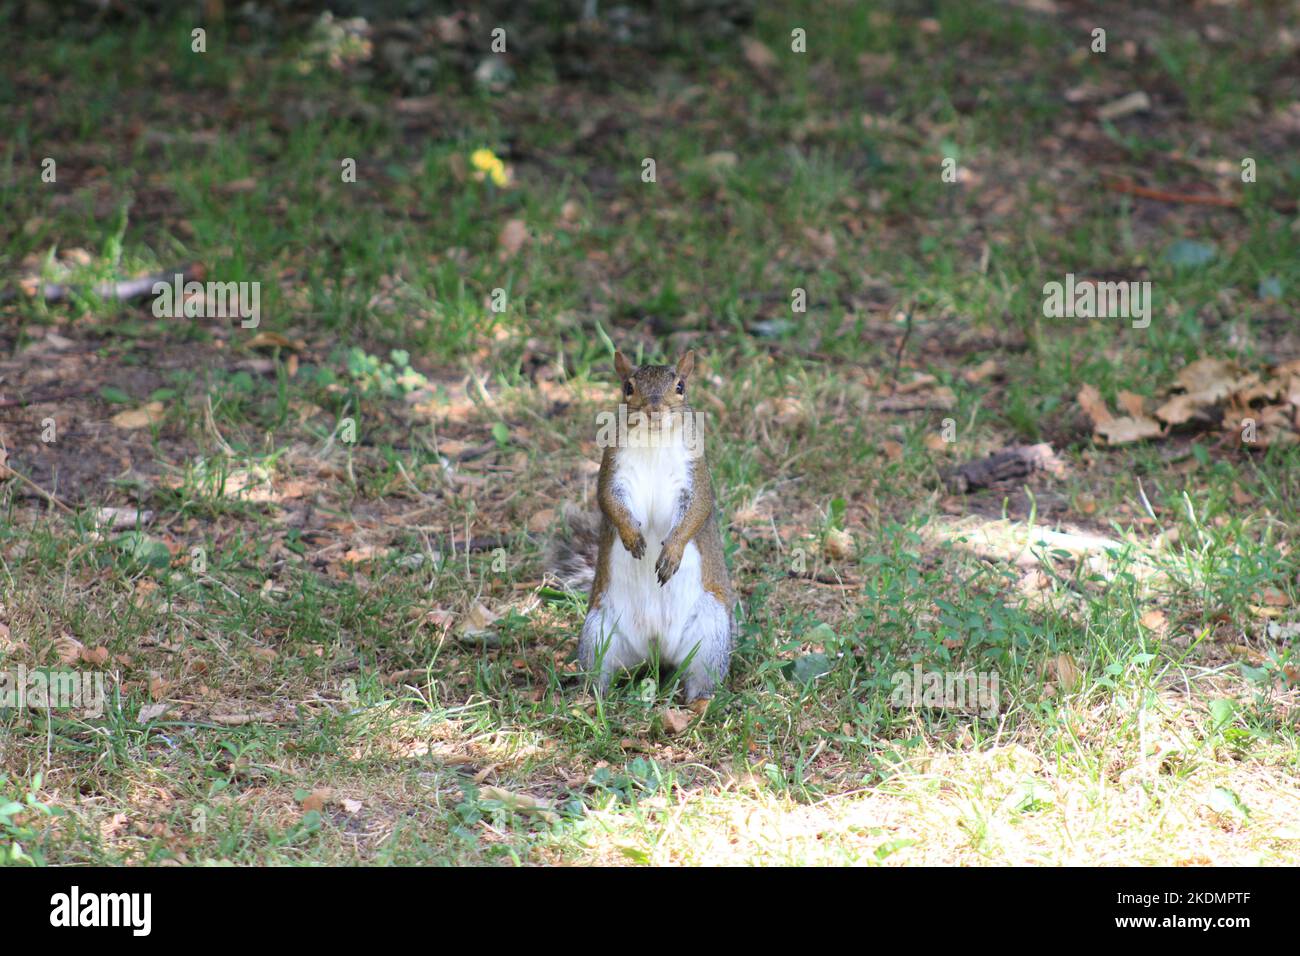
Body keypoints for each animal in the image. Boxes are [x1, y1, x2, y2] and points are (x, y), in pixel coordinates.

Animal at [546, 348, 738, 702]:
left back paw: (700, 704)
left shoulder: (696, 477)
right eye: (628, 387)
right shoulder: (613, 468)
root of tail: (655, 647)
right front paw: (631, 536)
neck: (654, 440)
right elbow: (609, 501)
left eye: (680, 386)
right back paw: (590, 698)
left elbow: (695, 512)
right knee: (600, 672)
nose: (654, 410)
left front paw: (672, 553)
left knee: (702, 678)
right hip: (598, 632)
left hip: (711, 633)